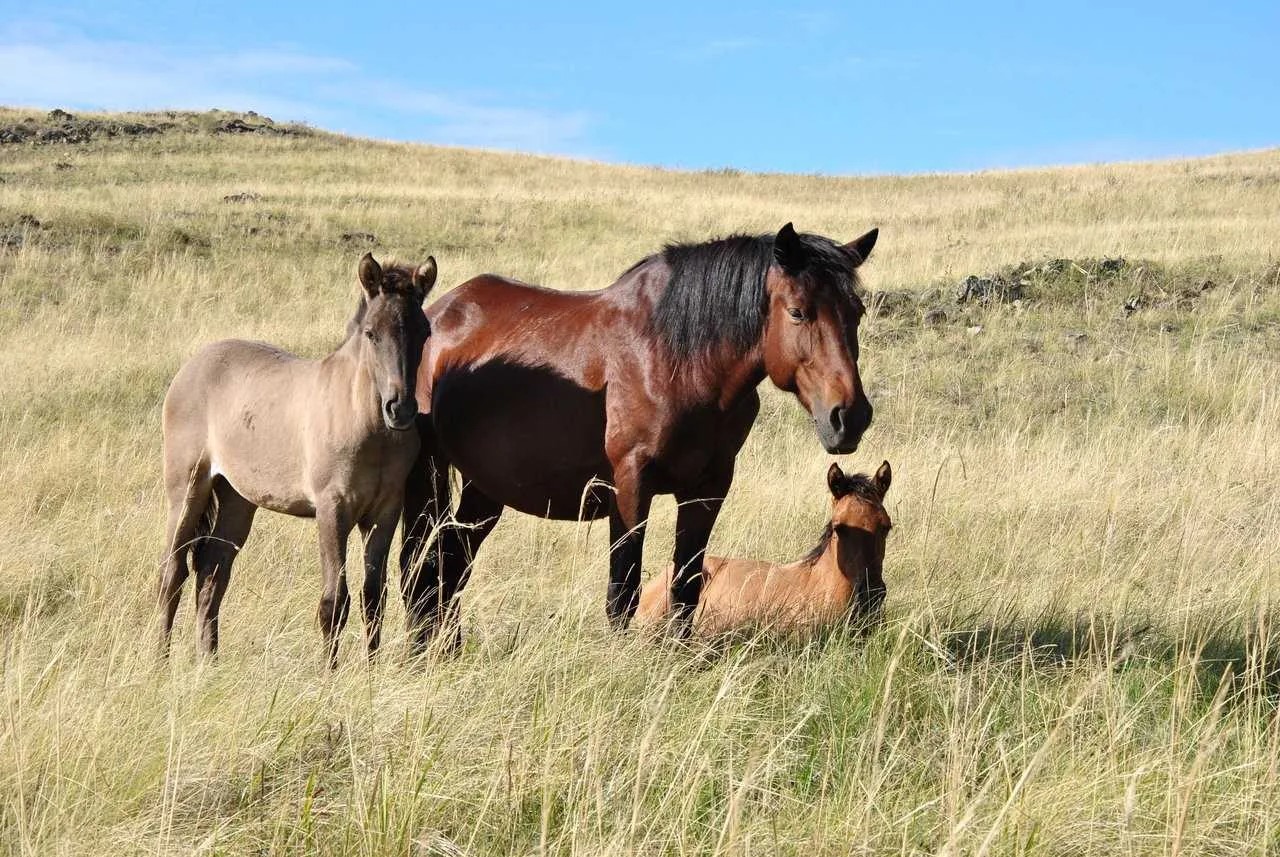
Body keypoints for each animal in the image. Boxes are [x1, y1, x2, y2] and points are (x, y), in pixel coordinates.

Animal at [157, 253, 437, 666]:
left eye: (424, 332)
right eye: (371, 333)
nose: (400, 409)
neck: (365, 422)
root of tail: (191, 367)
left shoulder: (385, 512)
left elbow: (374, 597)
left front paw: (371, 671)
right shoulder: (332, 508)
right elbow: (334, 601)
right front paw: (330, 674)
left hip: (237, 499)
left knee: (212, 572)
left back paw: (208, 663)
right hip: (188, 489)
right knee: (172, 572)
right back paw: (159, 662)